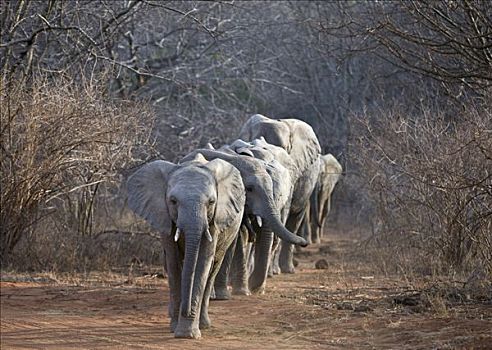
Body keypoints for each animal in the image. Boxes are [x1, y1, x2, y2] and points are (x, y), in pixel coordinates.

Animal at [125, 154, 244, 340]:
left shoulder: (214, 221)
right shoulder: (165, 218)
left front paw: (188, 334)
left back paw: (204, 324)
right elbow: (174, 264)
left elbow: (202, 263)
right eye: (173, 201)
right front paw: (176, 329)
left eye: (211, 202)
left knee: (212, 269)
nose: (187, 311)